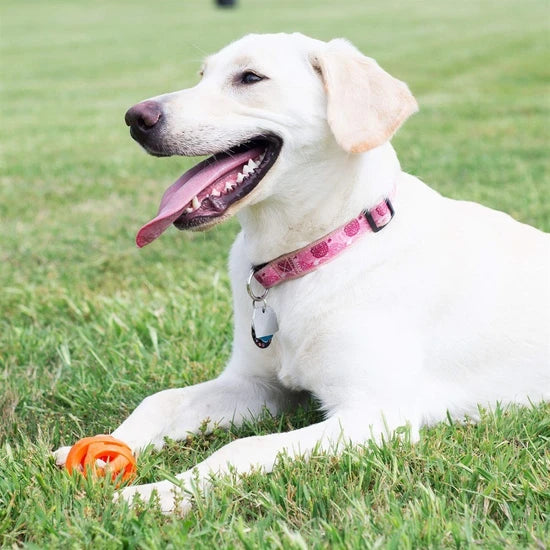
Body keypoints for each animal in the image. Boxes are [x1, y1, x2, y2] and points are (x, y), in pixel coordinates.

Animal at [54, 33, 548, 512]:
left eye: (250, 77)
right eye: (201, 75)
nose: (135, 117)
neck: (313, 253)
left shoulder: (375, 415)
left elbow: (242, 447)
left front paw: (158, 494)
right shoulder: (256, 384)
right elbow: (161, 399)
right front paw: (105, 447)